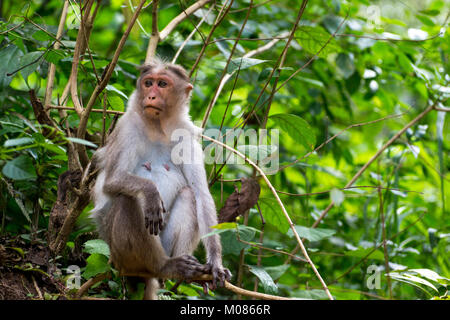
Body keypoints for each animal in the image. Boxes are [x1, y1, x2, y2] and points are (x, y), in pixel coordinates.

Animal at [91, 58, 232, 300]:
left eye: (162, 84)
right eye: (148, 83)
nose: (151, 96)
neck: (158, 126)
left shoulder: (187, 135)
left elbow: (201, 195)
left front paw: (215, 263)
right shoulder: (127, 127)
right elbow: (112, 181)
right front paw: (150, 192)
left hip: (163, 244)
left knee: (188, 195)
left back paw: (181, 272)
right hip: (118, 255)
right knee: (127, 200)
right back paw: (162, 266)